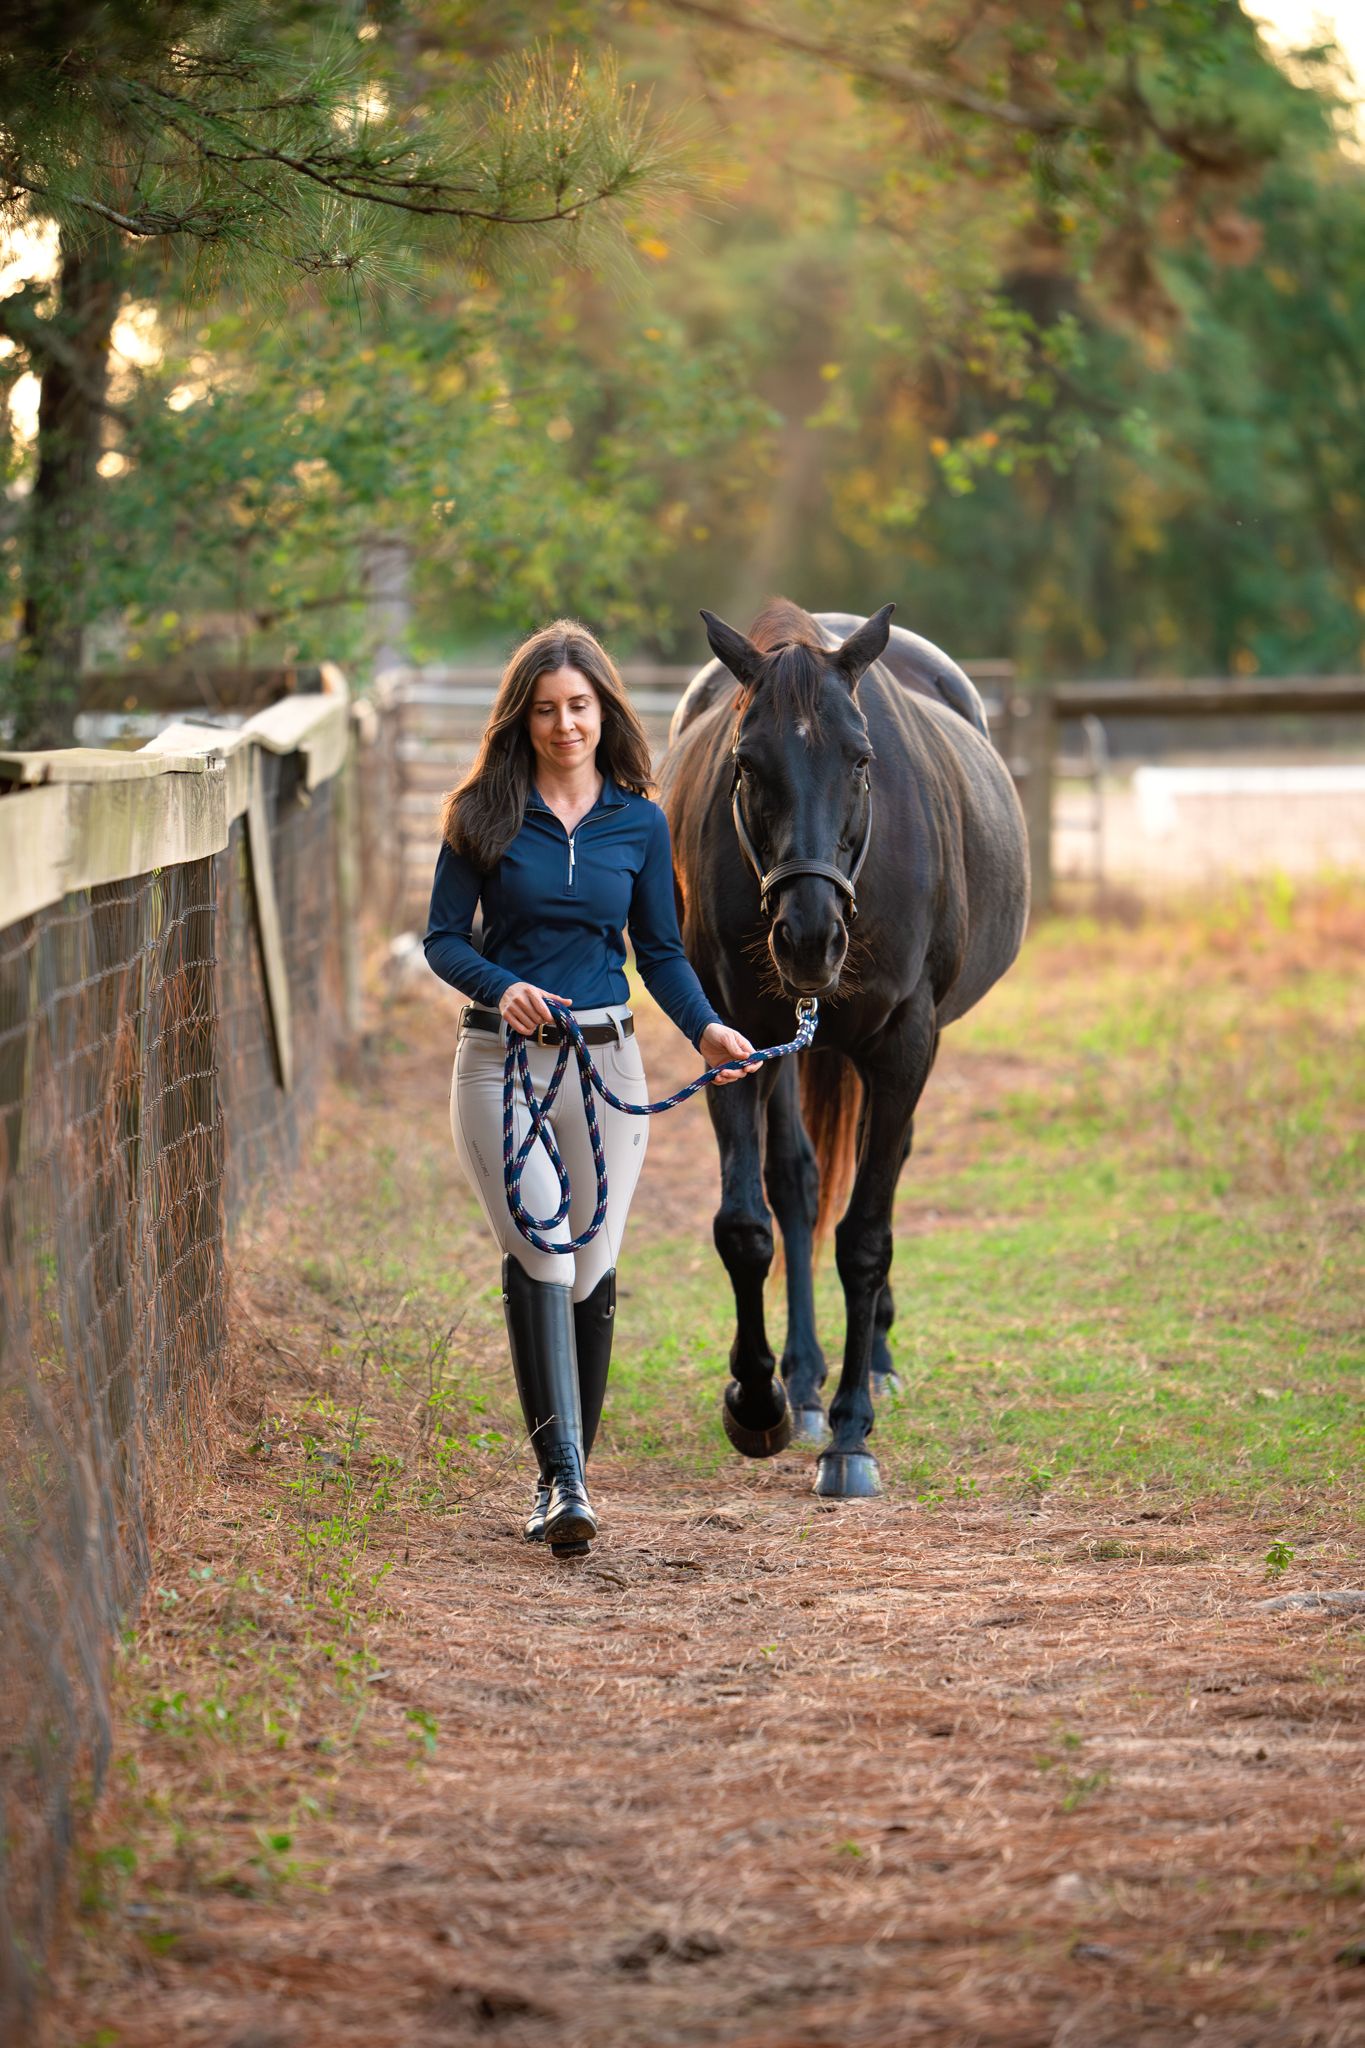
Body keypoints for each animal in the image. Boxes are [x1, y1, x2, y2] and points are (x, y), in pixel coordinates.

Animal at [658, 599, 1029, 1498]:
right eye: (745, 764)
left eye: (861, 761)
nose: (808, 937)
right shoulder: (732, 1036)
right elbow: (746, 1223)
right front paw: (757, 1400)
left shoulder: (904, 1048)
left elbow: (865, 1235)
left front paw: (853, 1435)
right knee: (797, 1184)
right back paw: (800, 1384)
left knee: (874, 1180)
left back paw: (874, 1365)